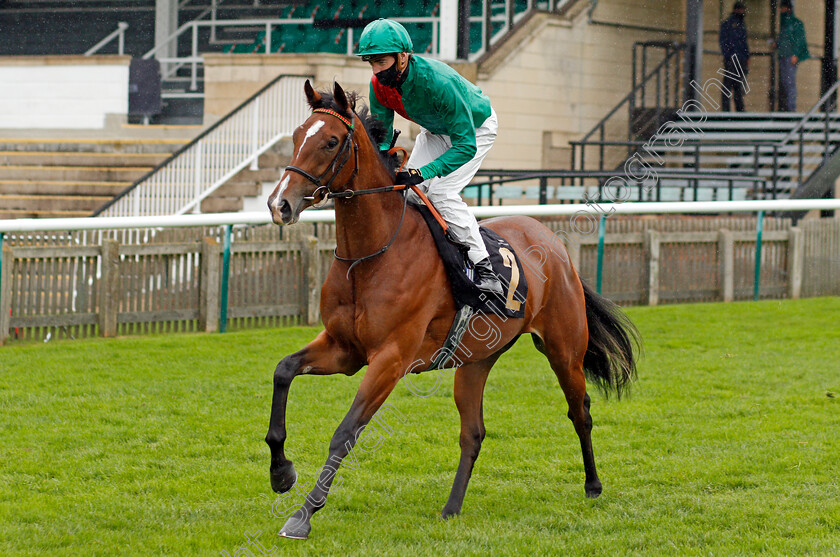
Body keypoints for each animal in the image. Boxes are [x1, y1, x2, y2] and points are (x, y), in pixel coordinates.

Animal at [262, 80, 636, 536]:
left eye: (331, 141)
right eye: (297, 136)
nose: (279, 205)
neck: (369, 255)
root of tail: (553, 242)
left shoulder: (390, 358)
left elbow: (346, 432)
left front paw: (302, 516)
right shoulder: (343, 348)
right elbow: (283, 370)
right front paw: (281, 473)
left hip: (564, 349)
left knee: (579, 411)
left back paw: (593, 485)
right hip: (476, 360)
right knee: (472, 433)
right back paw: (451, 507)